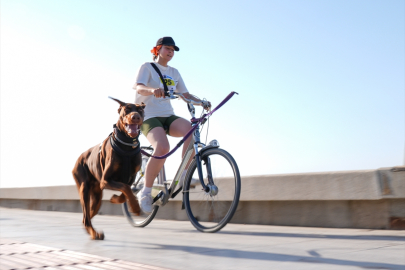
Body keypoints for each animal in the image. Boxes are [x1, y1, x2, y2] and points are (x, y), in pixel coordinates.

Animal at [73, 97, 145, 240]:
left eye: (140, 109)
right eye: (127, 109)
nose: (135, 117)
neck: (127, 146)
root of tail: (79, 158)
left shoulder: (131, 177)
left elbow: (126, 192)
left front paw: (116, 199)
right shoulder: (105, 180)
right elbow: (126, 188)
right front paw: (135, 207)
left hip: (97, 197)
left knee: (86, 216)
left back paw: (93, 232)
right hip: (84, 187)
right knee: (86, 217)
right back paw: (94, 233)